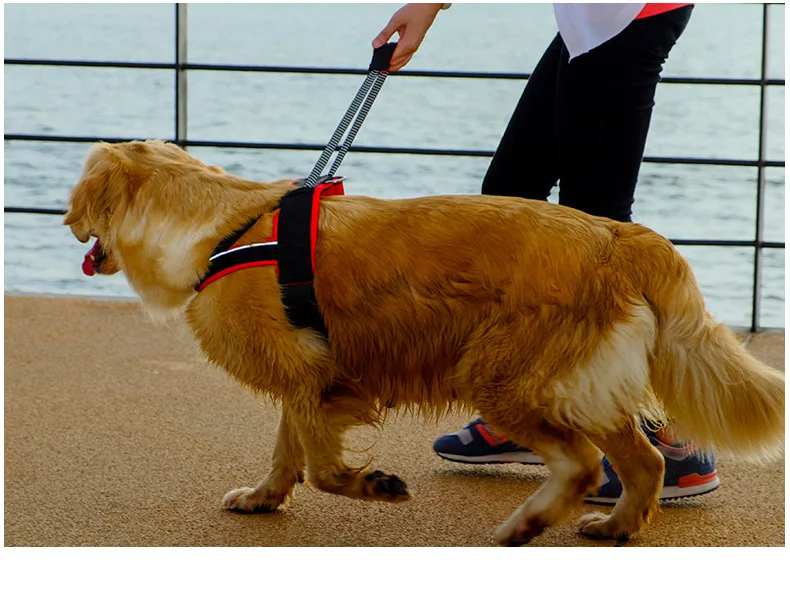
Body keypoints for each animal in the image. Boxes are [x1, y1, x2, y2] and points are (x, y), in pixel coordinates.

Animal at [63, 141, 784, 548]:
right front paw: (264, 497)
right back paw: (616, 527)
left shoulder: (316, 376)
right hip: (578, 382)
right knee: (644, 462)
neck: (223, 227)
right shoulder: (307, 377)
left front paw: (373, 484)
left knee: (581, 464)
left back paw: (525, 526)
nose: (65, 221)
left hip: (500, 374)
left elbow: (322, 467)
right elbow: (287, 451)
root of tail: (617, 236)